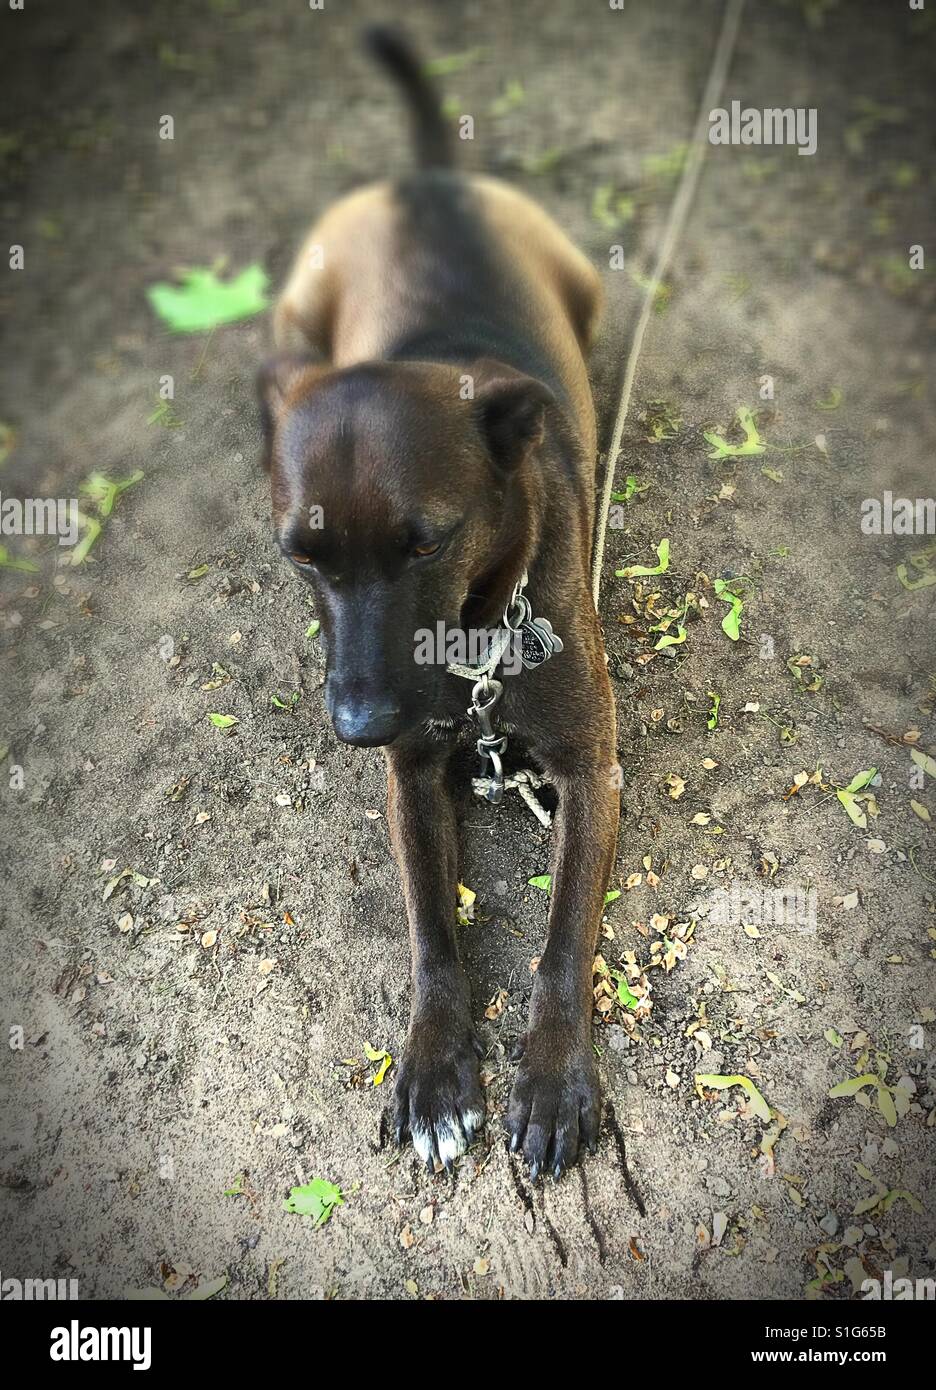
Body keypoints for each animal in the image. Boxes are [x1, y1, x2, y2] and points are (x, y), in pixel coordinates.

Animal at [258, 27, 617, 1178]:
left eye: (428, 540)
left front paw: (549, 1080)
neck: (474, 649)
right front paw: (430, 1068)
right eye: (301, 555)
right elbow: (430, 929)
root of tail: (430, 178)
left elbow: (561, 940)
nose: (359, 724)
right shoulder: (410, 778)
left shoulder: (591, 773)